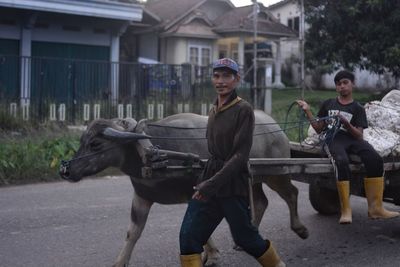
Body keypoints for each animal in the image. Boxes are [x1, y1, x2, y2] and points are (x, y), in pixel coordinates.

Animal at [60, 110, 310, 266]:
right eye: (82, 141)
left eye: (95, 144)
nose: (67, 170)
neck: (151, 152)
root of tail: (276, 128)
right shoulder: (142, 196)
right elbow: (133, 232)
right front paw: (119, 262)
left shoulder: (197, 191)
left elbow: (198, 227)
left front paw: (212, 255)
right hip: (254, 179)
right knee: (261, 202)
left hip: (276, 173)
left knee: (292, 193)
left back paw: (300, 228)